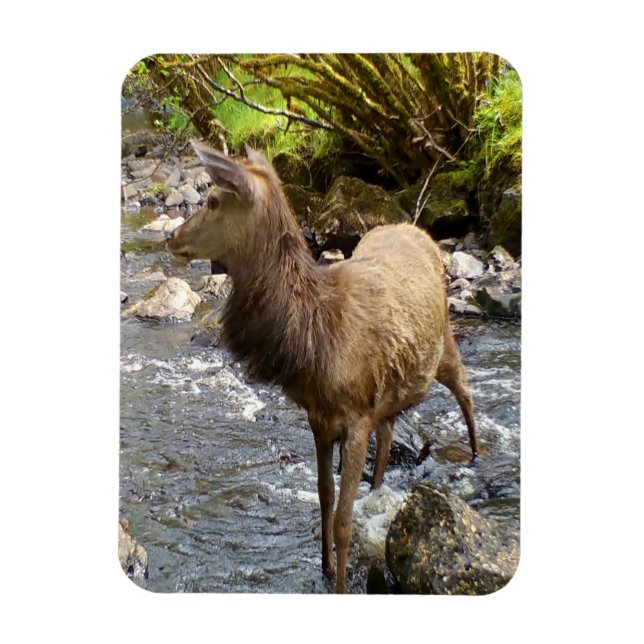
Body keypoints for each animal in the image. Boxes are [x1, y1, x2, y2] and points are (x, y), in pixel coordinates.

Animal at [166, 140, 479, 593]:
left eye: (212, 200)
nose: (171, 237)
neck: (315, 343)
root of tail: (417, 230)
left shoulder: (356, 416)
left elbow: (344, 520)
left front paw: (341, 582)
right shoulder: (319, 416)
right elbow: (323, 497)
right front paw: (324, 566)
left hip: (445, 345)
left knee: (466, 391)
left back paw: (475, 456)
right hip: (392, 387)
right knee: (390, 431)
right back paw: (381, 484)